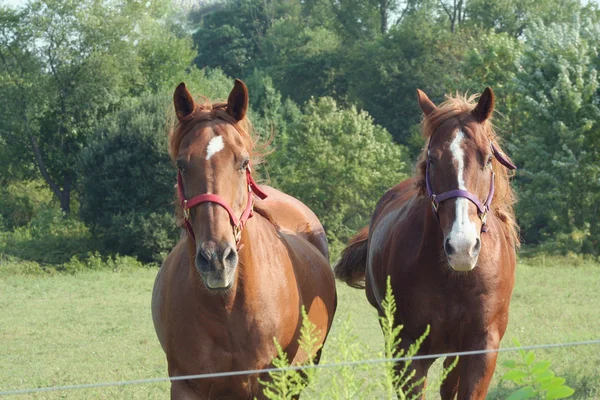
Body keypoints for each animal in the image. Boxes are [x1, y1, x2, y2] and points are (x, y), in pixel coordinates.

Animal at [151, 79, 338, 398]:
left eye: (243, 162)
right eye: (181, 165)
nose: (216, 259)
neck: (226, 308)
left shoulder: (272, 383)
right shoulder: (186, 385)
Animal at [336, 88, 516, 400]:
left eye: (487, 159)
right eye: (432, 159)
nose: (461, 247)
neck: (453, 278)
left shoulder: (481, 348)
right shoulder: (408, 347)